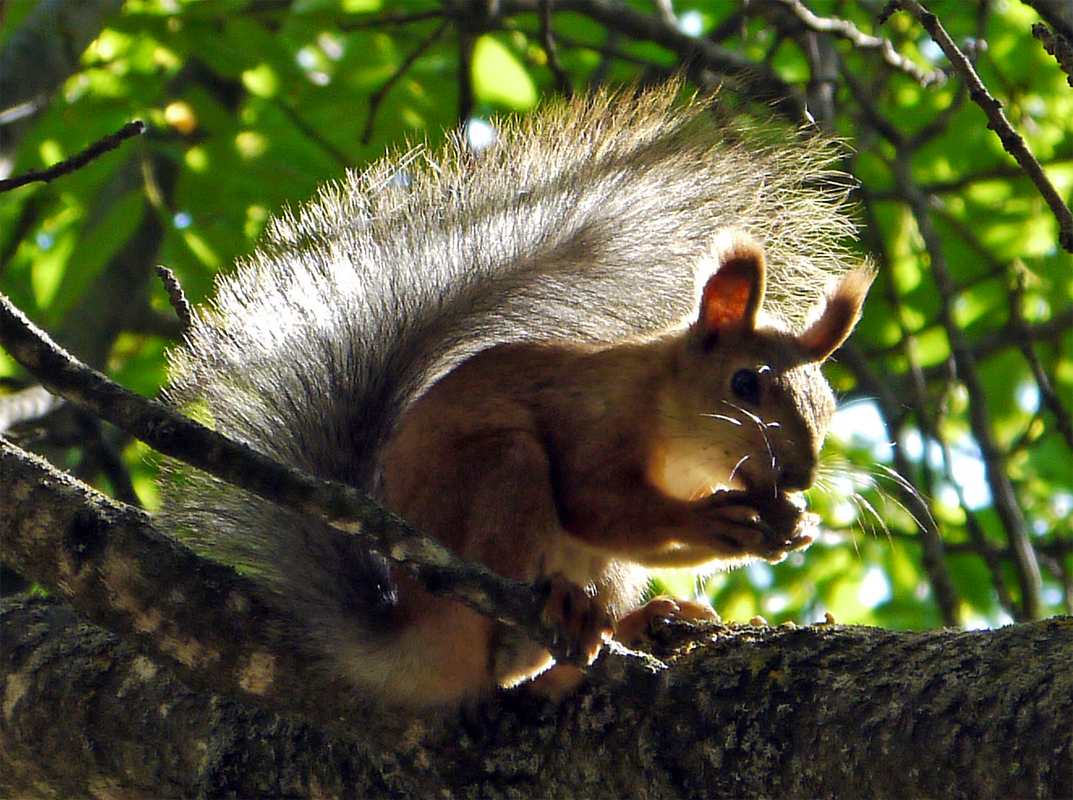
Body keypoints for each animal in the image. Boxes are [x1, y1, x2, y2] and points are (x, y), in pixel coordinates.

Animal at [163, 85, 875, 712]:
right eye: (744, 384)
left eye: (828, 406)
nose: (801, 476)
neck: (679, 440)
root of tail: (415, 634)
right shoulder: (594, 420)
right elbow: (599, 506)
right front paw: (721, 523)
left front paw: (792, 526)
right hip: (500, 477)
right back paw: (550, 621)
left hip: (594, 565)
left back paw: (638, 621)